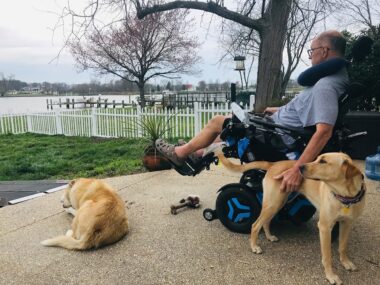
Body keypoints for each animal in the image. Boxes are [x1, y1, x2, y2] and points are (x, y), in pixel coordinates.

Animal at [218, 152, 366, 284]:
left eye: (323, 161)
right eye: (317, 158)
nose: (300, 167)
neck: (345, 197)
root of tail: (274, 164)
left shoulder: (347, 224)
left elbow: (343, 246)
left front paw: (346, 262)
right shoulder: (324, 227)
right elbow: (327, 256)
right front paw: (331, 276)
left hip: (278, 203)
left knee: (266, 222)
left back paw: (269, 236)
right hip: (273, 203)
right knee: (255, 225)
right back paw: (254, 246)